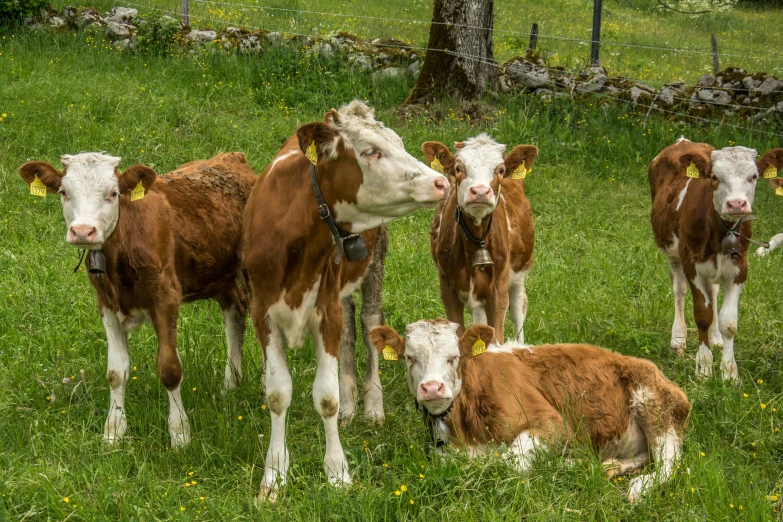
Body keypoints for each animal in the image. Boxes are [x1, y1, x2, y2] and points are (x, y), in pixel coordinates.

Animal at [18, 151, 256, 446]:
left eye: (113, 193)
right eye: (64, 192)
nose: (83, 231)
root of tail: (232, 157)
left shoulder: (166, 297)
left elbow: (170, 369)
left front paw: (180, 434)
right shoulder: (106, 303)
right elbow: (115, 372)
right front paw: (114, 432)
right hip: (219, 276)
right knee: (235, 315)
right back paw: (231, 383)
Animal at [243, 99, 454, 498]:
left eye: (400, 142)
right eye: (370, 151)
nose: (441, 182)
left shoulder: (325, 311)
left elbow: (325, 397)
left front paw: (337, 472)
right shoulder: (263, 314)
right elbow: (278, 395)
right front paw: (274, 477)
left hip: (374, 264)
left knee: (369, 325)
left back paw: (371, 406)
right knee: (349, 333)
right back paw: (352, 405)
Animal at [370, 318, 688, 502]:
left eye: (453, 357)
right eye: (409, 358)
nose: (433, 388)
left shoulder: (552, 422)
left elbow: (507, 462)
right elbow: (447, 460)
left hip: (655, 404)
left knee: (668, 462)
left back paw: (638, 488)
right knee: (642, 457)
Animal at [422, 134, 540, 342]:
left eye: (500, 170)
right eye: (458, 168)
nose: (480, 192)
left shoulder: (498, 288)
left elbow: (498, 335)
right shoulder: (447, 288)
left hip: (519, 271)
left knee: (518, 309)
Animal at [648, 138, 783, 380]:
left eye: (754, 176)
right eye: (714, 177)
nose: (736, 204)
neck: (722, 232)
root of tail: (684, 141)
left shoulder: (740, 268)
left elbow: (728, 322)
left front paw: (730, 373)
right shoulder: (692, 266)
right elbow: (702, 315)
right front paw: (704, 368)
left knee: (713, 292)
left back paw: (716, 339)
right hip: (673, 253)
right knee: (679, 291)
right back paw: (678, 339)